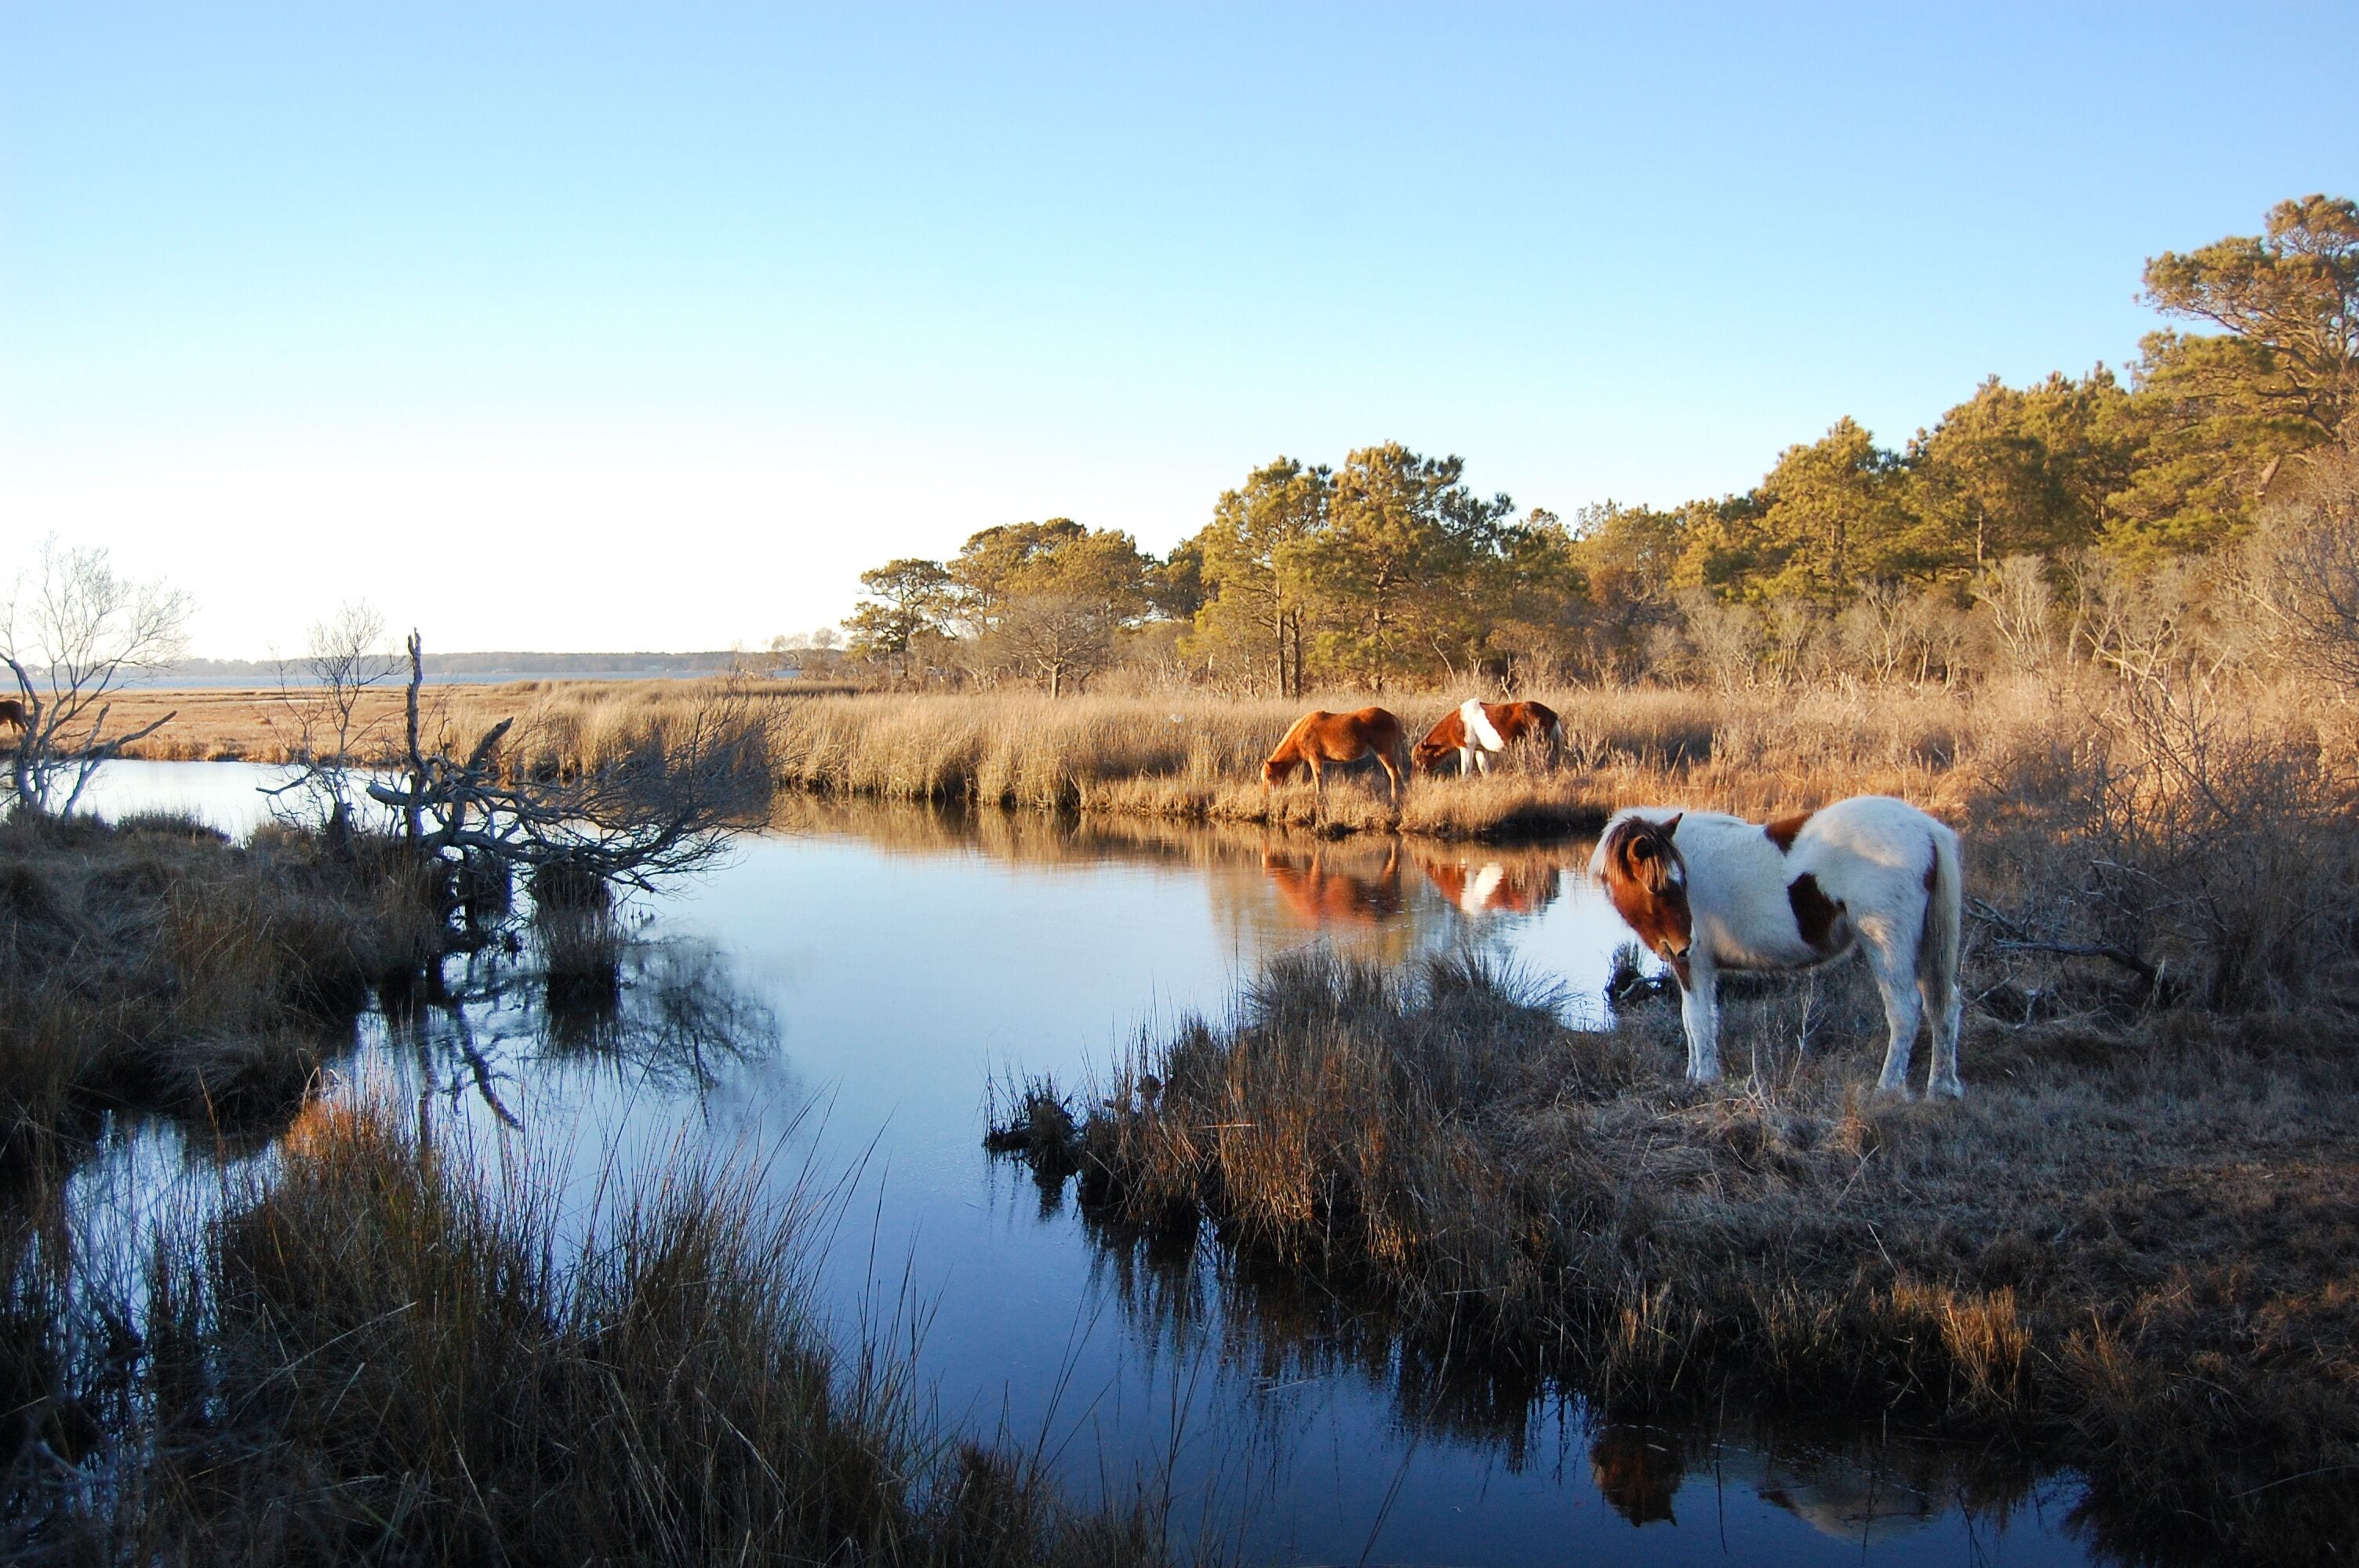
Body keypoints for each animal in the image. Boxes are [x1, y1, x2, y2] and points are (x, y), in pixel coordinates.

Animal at [1261, 707, 1411, 808]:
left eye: (1269, 777)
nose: (1265, 796)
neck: (1302, 732)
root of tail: (1393, 718)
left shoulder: (1315, 758)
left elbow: (1318, 778)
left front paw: (1319, 796)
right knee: (1391, 773)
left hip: (1384, 751)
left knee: (1393, 773)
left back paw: (1394, 798)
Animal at [1412, 699, 1564, 776]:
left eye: (1419, 757)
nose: (1417, 775)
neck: (1458, 722)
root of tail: (1551, 713)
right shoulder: (1480, 749)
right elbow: (1484, 770)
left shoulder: (1467, 747)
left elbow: (1465, 771)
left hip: (1539, 743)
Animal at [1589, 795, 1964, 1098]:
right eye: (1656, 886)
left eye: (1675, 881)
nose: (1685, 943)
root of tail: (1927, 829)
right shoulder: (1687, 966)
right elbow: (1689, 1020)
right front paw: (1694, 1076)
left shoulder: (1695, 965)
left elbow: (1699, 1021)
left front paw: (1705, 1079)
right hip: (1922, 949)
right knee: (1944, 1005)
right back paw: (1942, 1088)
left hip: (1888, 945)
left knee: (1905, 1009)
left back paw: (1888, 1088)